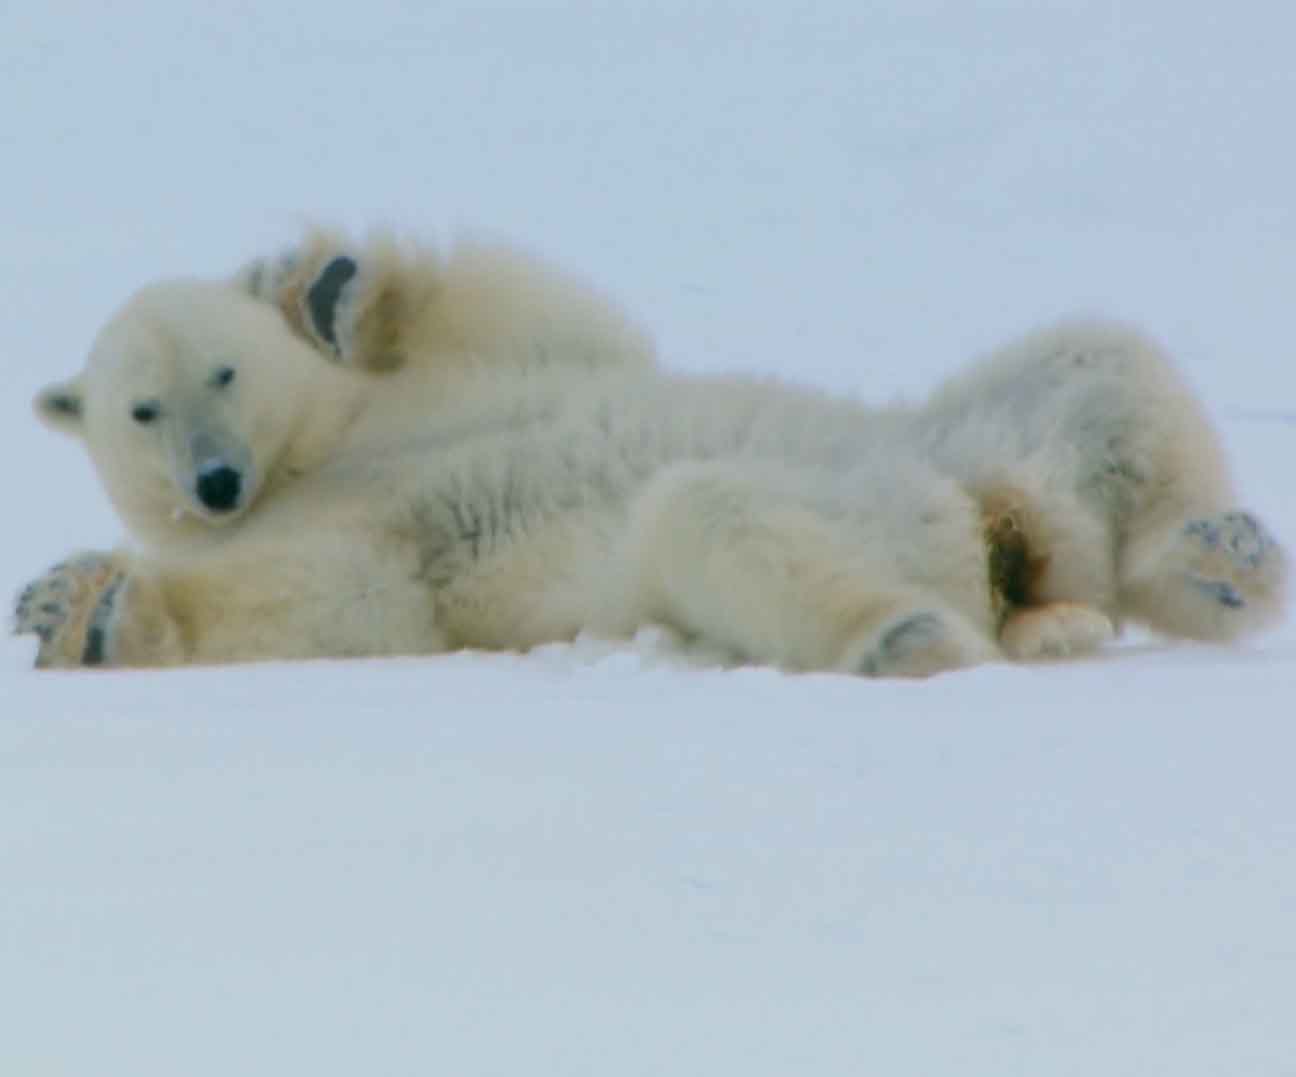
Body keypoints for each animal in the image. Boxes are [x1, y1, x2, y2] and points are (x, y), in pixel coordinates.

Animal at [15, 233, 1290, 679]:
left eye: (223, 374)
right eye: (142, 411)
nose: (215, 481)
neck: (319, 454)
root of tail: (1004, 541)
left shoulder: (458, 382)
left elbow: (541, 316)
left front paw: (324, 280)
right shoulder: (342, 527)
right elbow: (348, 598)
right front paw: (79, 607)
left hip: (966, 432)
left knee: (1101, 358)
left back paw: (1219, 554)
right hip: (944, 497)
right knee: (711, 520)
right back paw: (911, 635)